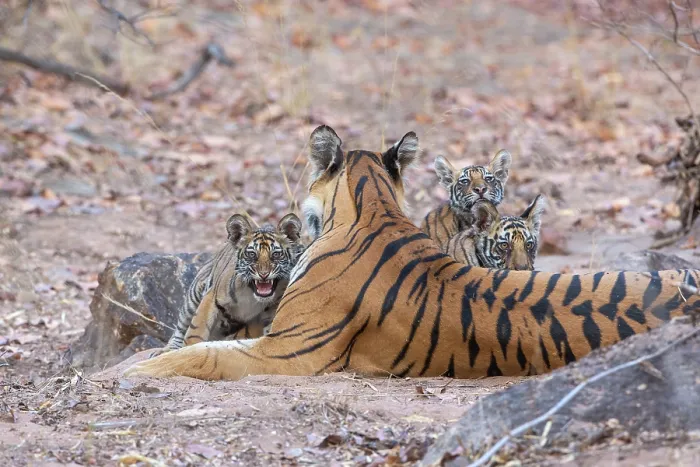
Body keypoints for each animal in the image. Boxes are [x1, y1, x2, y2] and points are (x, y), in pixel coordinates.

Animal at [153, 212, 306, 356]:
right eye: (251, 254)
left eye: (276, 254)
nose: (264, 274)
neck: (251, 294)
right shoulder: (211, 298)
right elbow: (195, 331)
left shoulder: (272, 309)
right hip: (193, 297)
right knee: (180, 328)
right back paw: (166, 350)